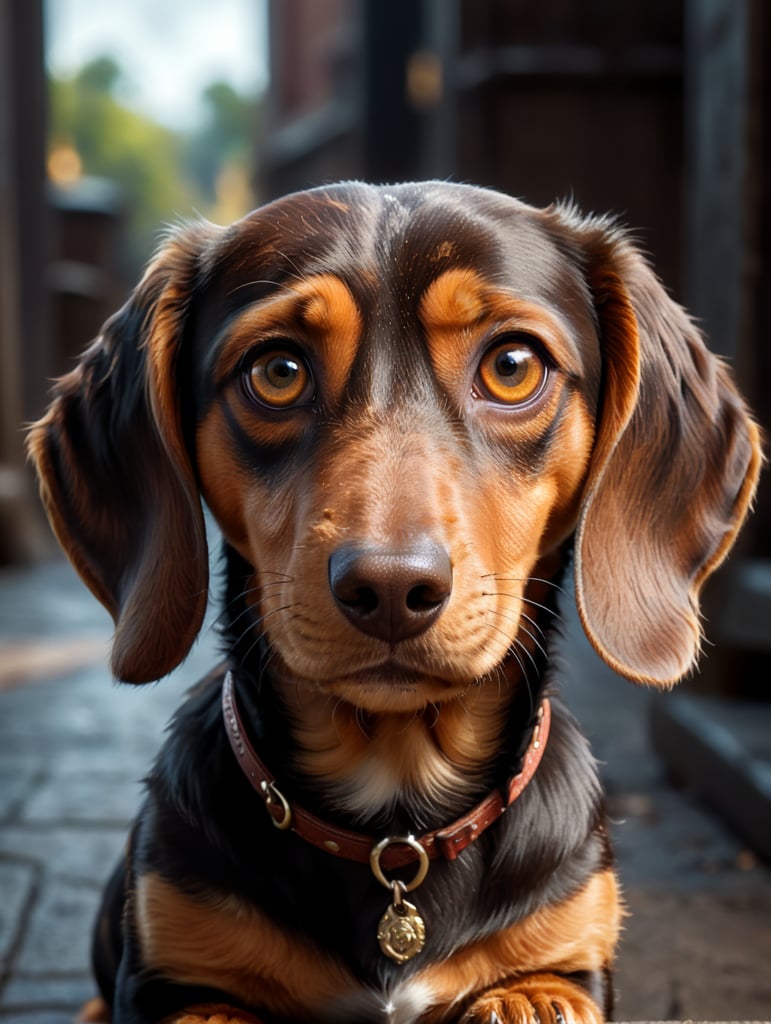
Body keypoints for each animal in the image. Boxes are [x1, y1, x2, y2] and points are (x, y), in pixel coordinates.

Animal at [27, 180, 761, 1019]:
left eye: (513, 365)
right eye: (277, 371)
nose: (387, 588)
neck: (395, 828)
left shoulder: (568, 961)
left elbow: (532, 987)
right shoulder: (172, 973)